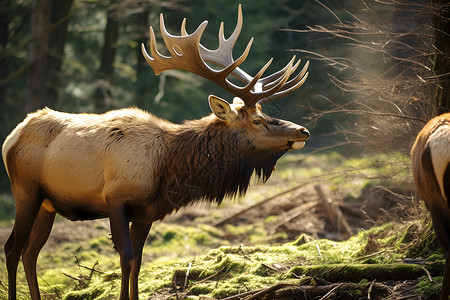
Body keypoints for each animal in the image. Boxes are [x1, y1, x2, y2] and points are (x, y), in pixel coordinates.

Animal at [0, 5, 310, 300]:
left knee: (31, 252)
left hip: (47, 204)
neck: (168, 169)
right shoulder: (115, 199)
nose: (302, 131)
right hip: (26, 191)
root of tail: (11, 138)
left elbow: (138, 262)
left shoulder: (146, 212)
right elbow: (126, 258)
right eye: (257, 121)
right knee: (12, 247)